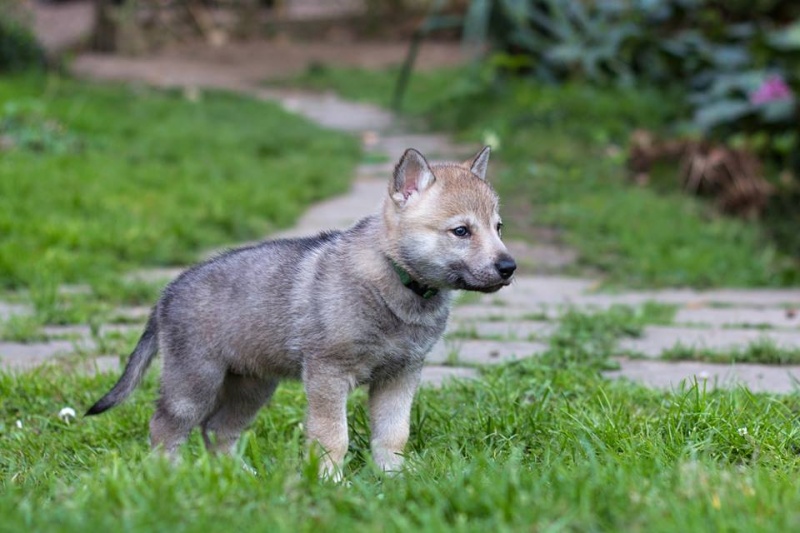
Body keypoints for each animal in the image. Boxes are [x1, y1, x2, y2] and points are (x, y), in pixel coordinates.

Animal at [86, 147, 512, 478]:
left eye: (498, 227)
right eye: (461, 231)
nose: (509, 267)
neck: (395, 278)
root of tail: (166, 294)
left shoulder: (401, 375)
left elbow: (393, 434)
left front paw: (393, 480)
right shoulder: (327, 374)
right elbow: (332, 438)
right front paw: (330, 484)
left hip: (252, 385)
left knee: (217, 430)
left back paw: (240, 477)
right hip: (194, 381)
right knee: (166, 428)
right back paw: (170, 477)